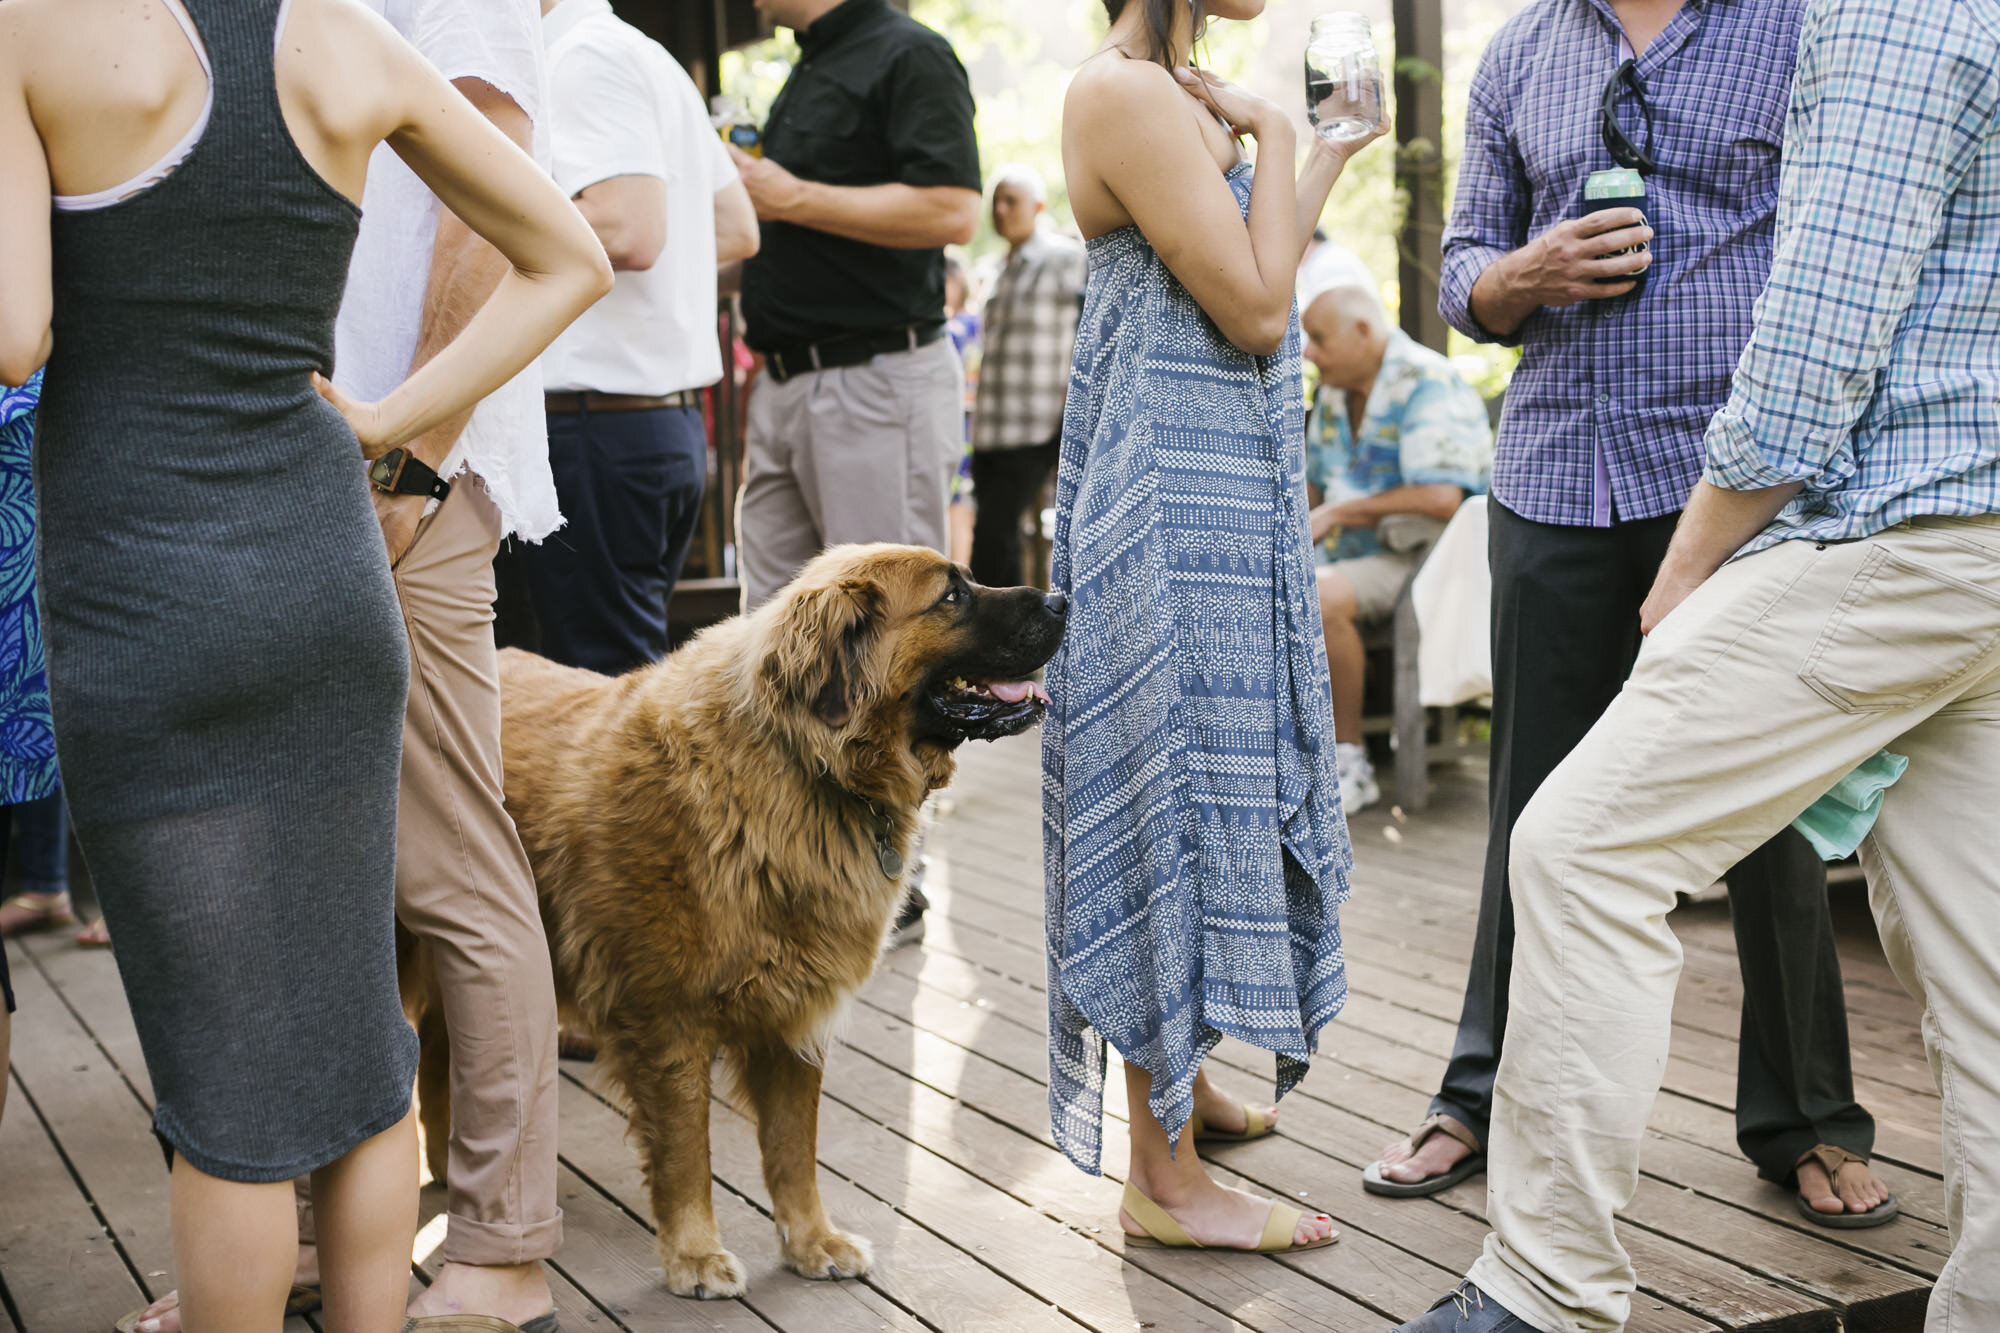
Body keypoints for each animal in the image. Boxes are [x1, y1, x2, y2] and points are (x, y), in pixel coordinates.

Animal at [416, 536, 1072, 1288]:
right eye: (951, 595)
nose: (1063, 598)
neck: (805, 766)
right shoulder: (667, 1021)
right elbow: (685, 1150)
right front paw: (695, 1253)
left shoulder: (798, 1014)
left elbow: (793, 1148)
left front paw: (813, 1241)